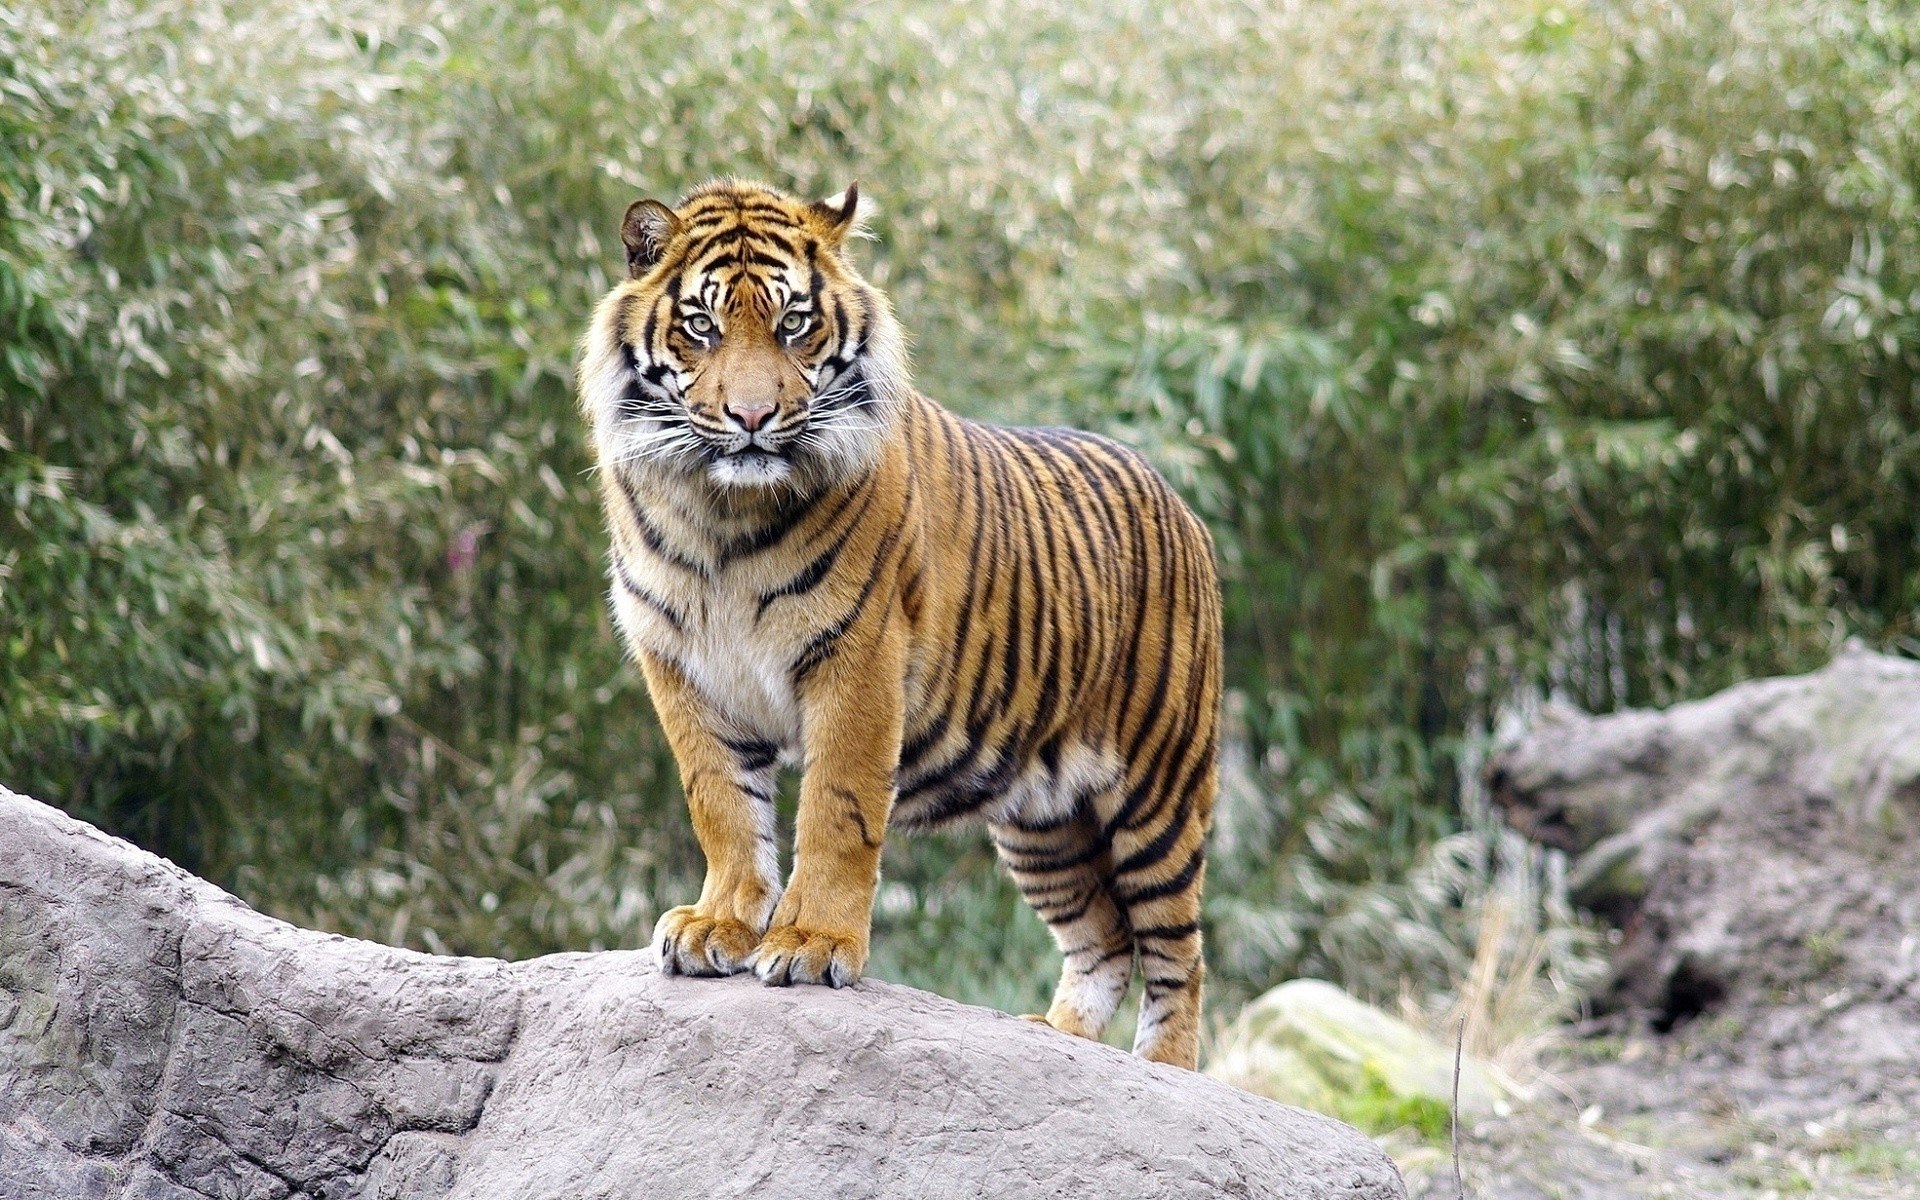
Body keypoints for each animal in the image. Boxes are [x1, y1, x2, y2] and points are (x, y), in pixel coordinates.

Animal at [576, 178, 1222, 1068]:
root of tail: (1176, 496)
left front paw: (812, 944)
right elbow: (722, 805)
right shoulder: (681, 667)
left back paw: (1161, 1071)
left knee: (1177, 954)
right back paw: (1055, 1037)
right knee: (1103, 939)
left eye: (794, 323)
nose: (752, 416)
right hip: (1042, 820)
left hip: (1159, 792)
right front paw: (721, 923)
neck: (719, 513)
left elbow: (836, 810)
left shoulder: (857, 657)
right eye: (701, 326)